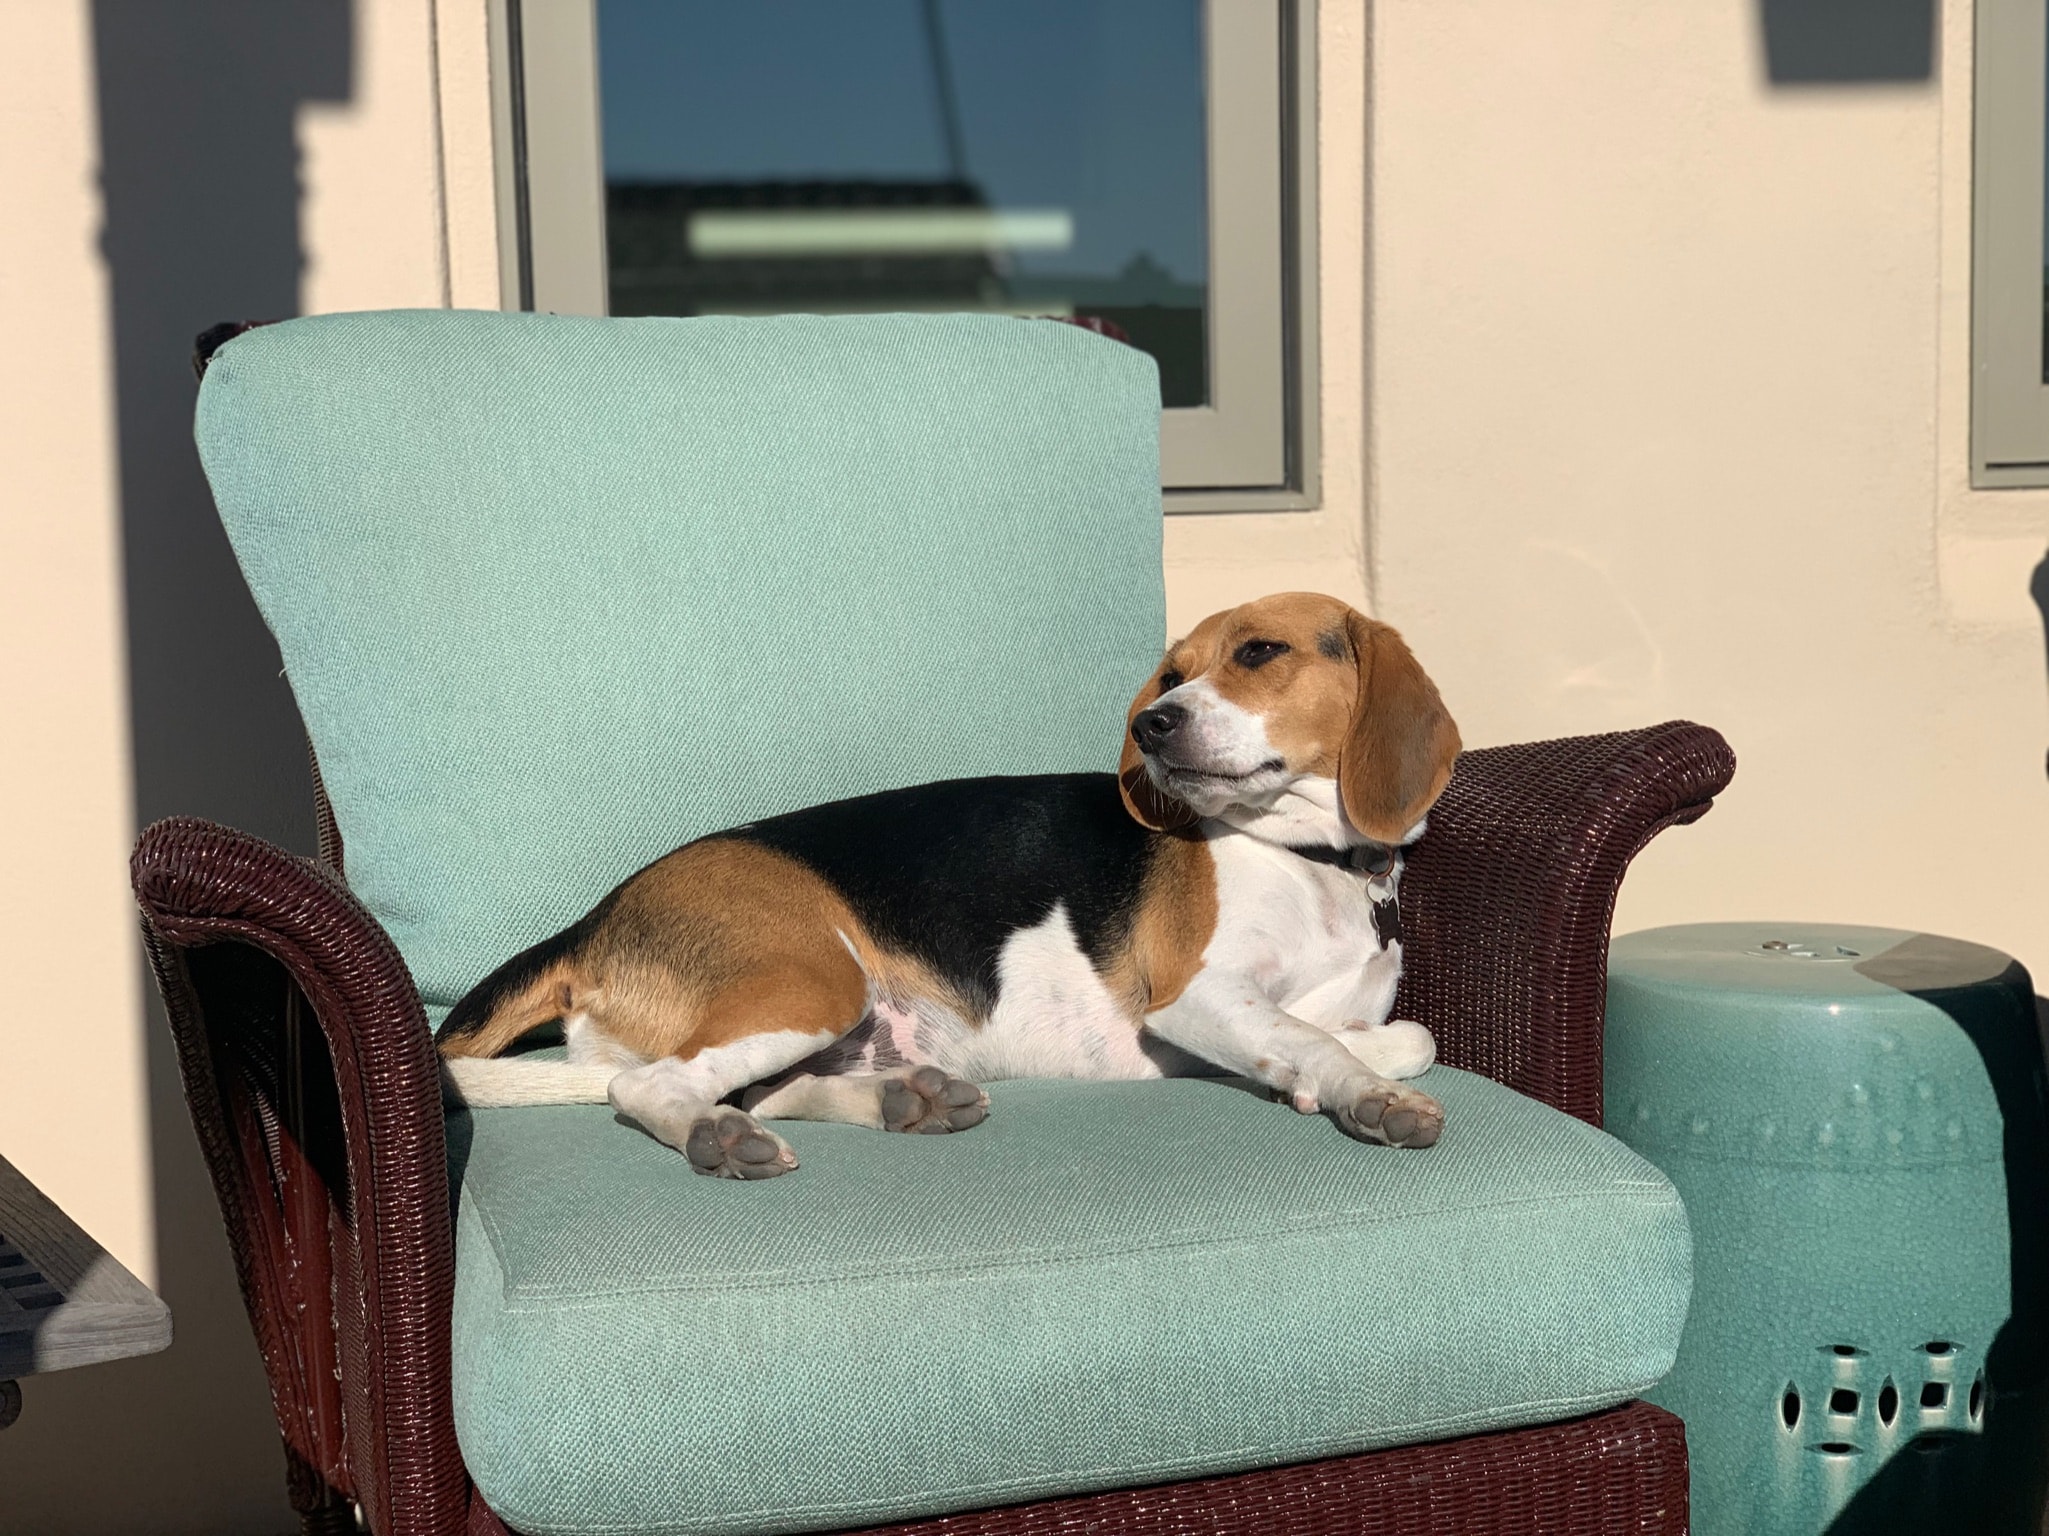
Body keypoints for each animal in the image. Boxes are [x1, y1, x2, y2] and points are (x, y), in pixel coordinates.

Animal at [436, 589, 1458, 1179]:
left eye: (1258, 653)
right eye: (1171, 674)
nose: (1154, 725)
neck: (1312, 861)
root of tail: (592, 922)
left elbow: (1399, 1034)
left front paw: (1335, 1072)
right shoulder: (1193, 998)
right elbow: (1324, 1040)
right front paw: (1365, 1098)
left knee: (745, 1088)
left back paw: (904, 1101)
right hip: (813, 981)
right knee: (646, 1087)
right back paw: (714, 1141)